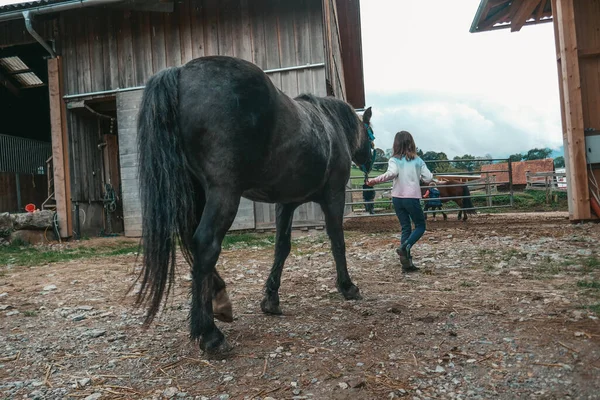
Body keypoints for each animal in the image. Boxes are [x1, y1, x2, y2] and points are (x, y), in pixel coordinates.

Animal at [135, 55, 376, 354]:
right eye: (371, 133)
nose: (369, 160)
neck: (331, 127)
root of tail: (181, 73)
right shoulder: (333, 196)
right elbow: (337, 242)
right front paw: (348, 287)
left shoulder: (287, 203)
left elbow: (282, 247)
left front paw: (271, 299)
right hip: (224, 192)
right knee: (205, 243)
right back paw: (210, 334)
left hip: (196, 191)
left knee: (192, 241)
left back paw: (221, 301)